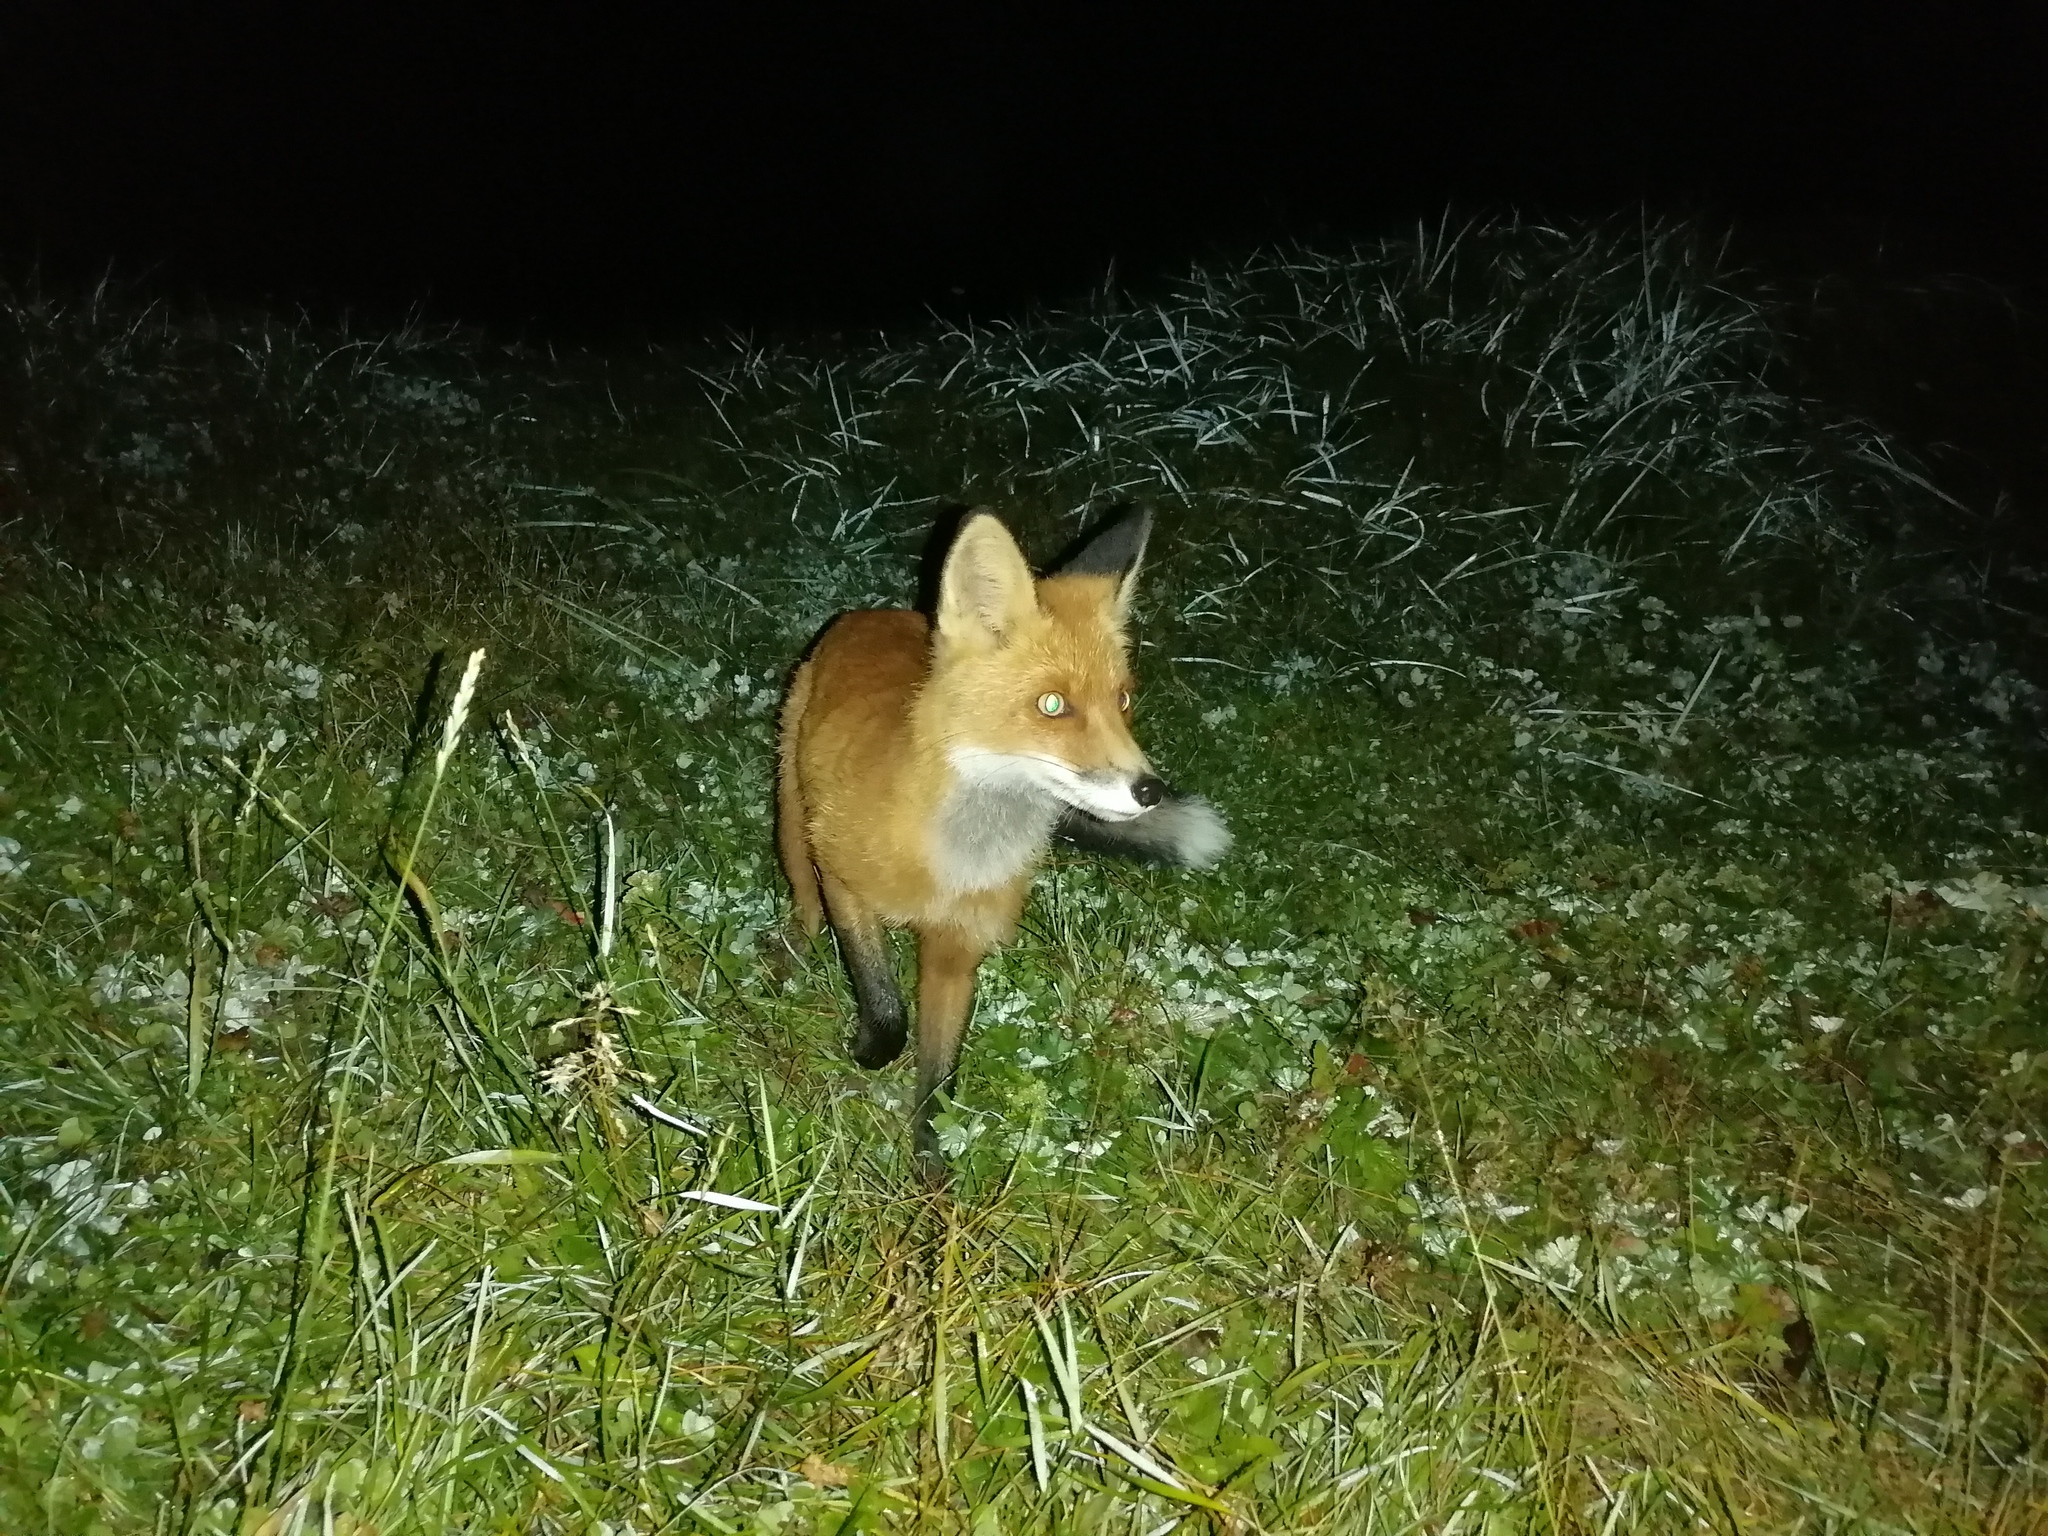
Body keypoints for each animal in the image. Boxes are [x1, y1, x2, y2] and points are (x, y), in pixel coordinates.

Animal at [770, 512, 1220, 1171]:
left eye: (1122, 699)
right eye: (1053, 705)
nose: (1150, 790)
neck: (954, 863)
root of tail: (876, 613)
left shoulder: (960, 947)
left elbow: (939, 1077)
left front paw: (931, 1178)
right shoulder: (845, 883)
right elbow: (884, 1002)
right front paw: (871, 1049)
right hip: (792, 825)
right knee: (803, 907)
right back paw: (789, 962)